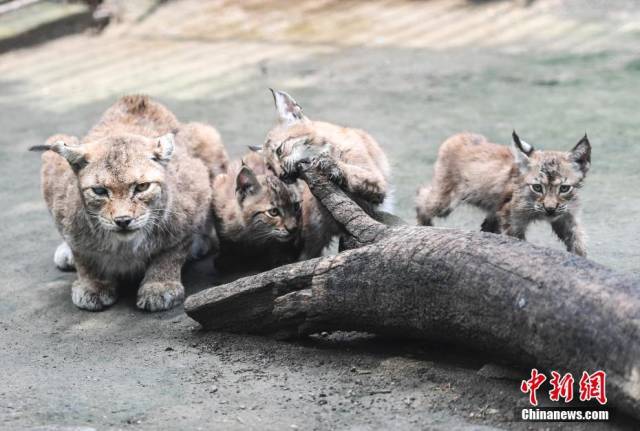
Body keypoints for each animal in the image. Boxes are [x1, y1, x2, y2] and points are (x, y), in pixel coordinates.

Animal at [35, 95, 228, 310]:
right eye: (99, 191)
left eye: (142, 187)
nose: (123, 221)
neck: (123, 245)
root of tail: (136, 98)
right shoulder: (63, 209)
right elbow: (82, 255)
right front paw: (93, 285)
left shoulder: (194, 198)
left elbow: (172, 251)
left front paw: (159, 286)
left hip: (207, 136)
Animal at [416, 132, 592, 256]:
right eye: (537, 187)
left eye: (564, 188)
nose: (550, 209)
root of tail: (459, 135)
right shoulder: (513, 219)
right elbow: (519, 242)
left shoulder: (566, 216)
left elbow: (578, 242)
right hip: (446, 201)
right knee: (422, 195)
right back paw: (424, 226)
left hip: (494, 208)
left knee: (487, 226)